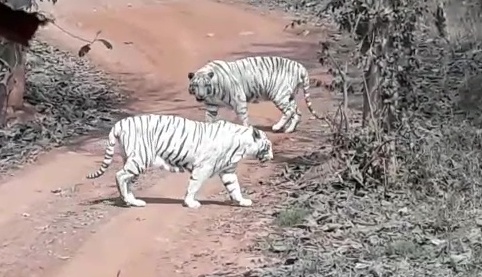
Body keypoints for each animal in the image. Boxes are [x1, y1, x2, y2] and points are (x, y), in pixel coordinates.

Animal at [86, 113, 274, 207]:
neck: (242, 147)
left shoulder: (228, 171)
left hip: (134, 161)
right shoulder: (203, 168)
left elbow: (234, 187)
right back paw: (126, 200)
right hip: (140, 158)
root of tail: (120, 123)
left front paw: (242, 201)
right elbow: (194, 186)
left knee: (127, 180)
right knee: (119, 175)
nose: (272, 157)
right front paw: (190, 203)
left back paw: (134, 201)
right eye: (268, 146)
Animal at [186, 55, 326, 133]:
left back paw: (277, 127)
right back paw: (289, 130)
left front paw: (247, 129)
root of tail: (300, 66)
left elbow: (243, 117)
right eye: (196, 85)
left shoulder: (239, 99)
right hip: (289, 95)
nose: (200, 96)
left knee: (289, 111)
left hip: (278, 94)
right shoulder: (211, 105)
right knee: (297, 112)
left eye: (206, 85)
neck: (213, 91)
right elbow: (209, 119)